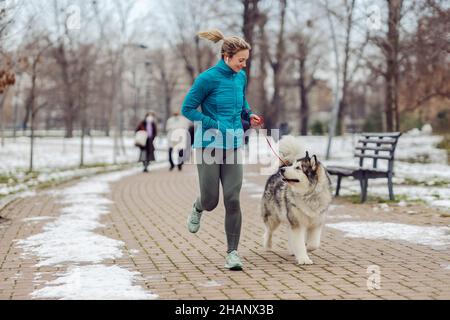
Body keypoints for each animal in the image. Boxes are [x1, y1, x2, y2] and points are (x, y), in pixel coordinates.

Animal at [262, 136, 332, 264]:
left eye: (298, 168)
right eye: (293, 166)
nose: (283, 170)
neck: (309, 195)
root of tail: (276, 172)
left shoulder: (316, 223)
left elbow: (314, 244)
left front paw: (307, 248)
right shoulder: (297, 223)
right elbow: (299, 243)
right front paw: (304, 259)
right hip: (273, 217)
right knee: (268, 231)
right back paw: (268, 245)